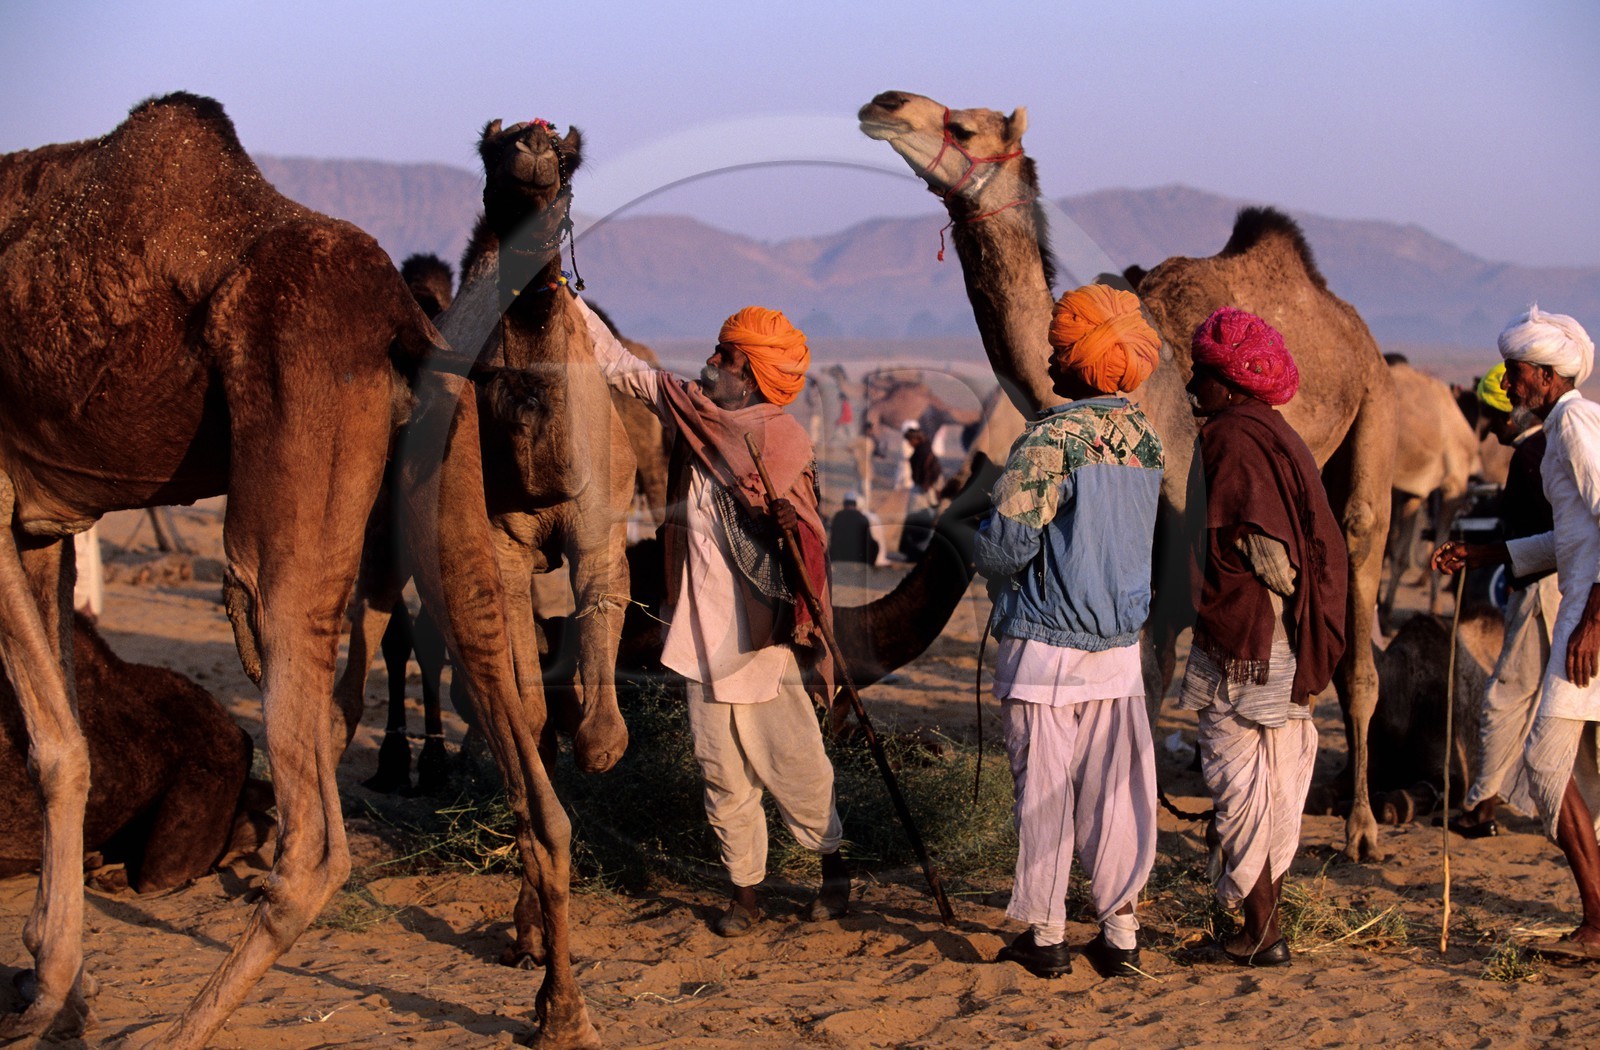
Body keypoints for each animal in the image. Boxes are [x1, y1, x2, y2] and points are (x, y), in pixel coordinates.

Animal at [859, 90, 1397, 861]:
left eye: (962, 126)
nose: (884, 104)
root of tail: (1352, 328)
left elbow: (1149, 683)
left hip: (1376, 417)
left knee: (1356, 624)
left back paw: (1361, 831)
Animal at [1380, 359, 1483, 632]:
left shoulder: (1413, 491)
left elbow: (1400, 553)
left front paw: (1386, 612)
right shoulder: (1454, 485)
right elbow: (1439, 542)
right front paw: (1435, 610)